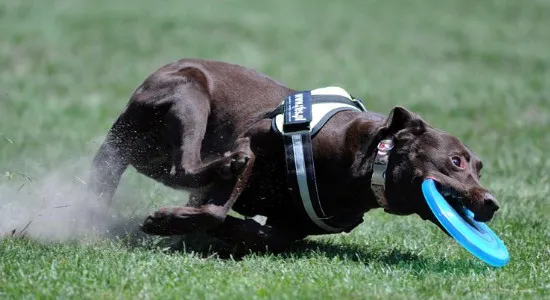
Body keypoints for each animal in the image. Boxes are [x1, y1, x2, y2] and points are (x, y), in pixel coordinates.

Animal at [88, 58, 502, 253]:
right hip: (190, 94)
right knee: (185, 165)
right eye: (456, 161)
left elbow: (262, 234)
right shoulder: (252, 138)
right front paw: (163, 221)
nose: (492, 203)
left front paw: (223, 230)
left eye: (480, 168)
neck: (367, 168)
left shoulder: (291, 224)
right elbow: (216, 206)